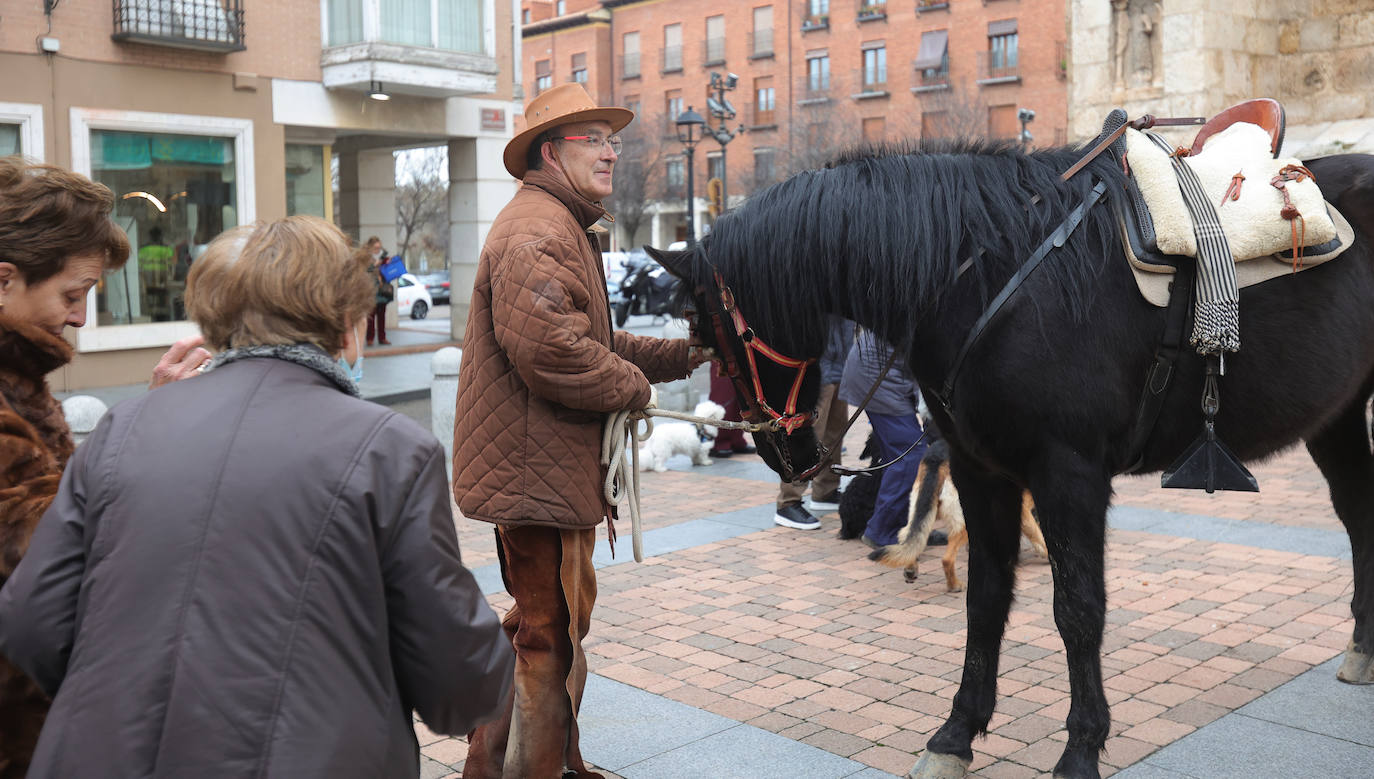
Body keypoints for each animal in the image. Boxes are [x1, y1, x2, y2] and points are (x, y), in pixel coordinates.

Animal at [651, 140, 1374, 779]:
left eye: (705, 329)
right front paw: (956, 733)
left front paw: (1081, 749)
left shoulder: (1068, 474)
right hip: (1336, 415)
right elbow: (985, 596)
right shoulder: (980, 470)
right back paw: (1362, 646)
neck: (990, 274)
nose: (782, 452)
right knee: (1356, 514)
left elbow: (1078, 607)